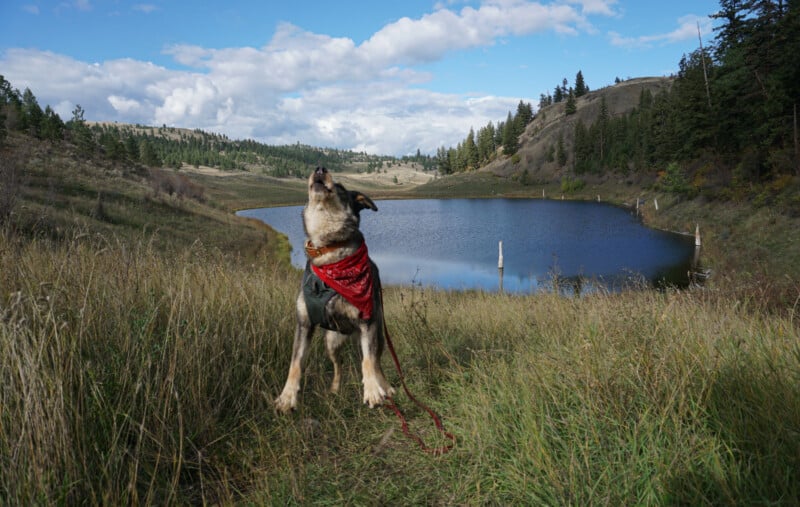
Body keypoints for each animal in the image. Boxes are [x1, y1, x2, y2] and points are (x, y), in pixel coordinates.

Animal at [276, 167, 396, 412]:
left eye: (340, 187)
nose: (319, 168)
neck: (329, 250)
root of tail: (350, 334)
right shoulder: (304, 324)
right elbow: (295, 364)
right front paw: (287, 396)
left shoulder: (367, 322)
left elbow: (368, 363)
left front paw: (373, 390)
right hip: (331, 342)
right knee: (338, 365)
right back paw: (334, 389)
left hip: (376, 335)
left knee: (375, 361)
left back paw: (385, 387)